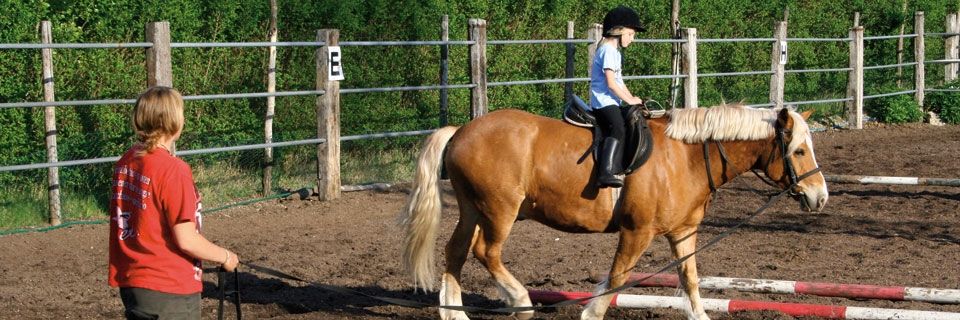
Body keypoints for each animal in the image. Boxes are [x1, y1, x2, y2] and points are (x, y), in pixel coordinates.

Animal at [402, 104, 828, 318]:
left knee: (456, 252)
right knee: (486, 252)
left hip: (473, 210)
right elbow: (618, 277)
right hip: (498, 210)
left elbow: (690, 280)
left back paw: (455, 313)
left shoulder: (683, 233)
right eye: (799, 151)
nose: (820, 197)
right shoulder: (637, 232)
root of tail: (461, 131)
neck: (686, 158)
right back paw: (520, 302)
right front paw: (592, 313)